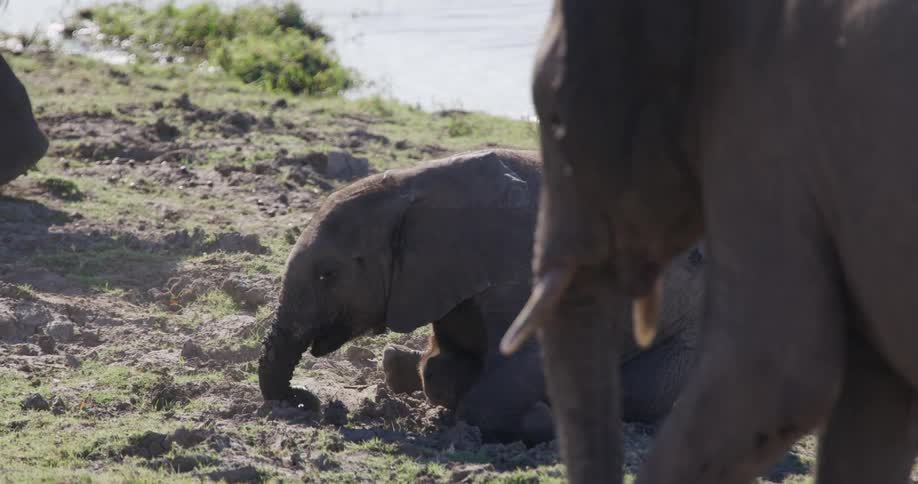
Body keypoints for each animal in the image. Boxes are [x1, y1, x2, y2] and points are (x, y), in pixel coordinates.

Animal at [257, 147, 706, 445]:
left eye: (327, 274)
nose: (307, 400)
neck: (413, 188)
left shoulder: (526, 275)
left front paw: (541, 419)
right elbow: (438, 367)